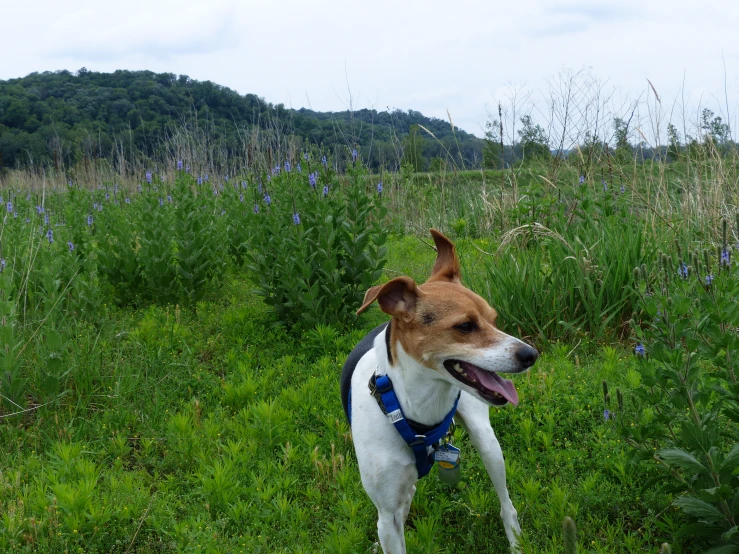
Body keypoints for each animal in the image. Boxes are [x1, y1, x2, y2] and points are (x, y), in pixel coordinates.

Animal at [340, 227, 536, 548]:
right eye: (465, 326)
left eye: (494, 319)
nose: (531, 355)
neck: (411, 408)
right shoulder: (387, 514)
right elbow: (393, 524)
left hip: (487, 441)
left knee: (507, 505)